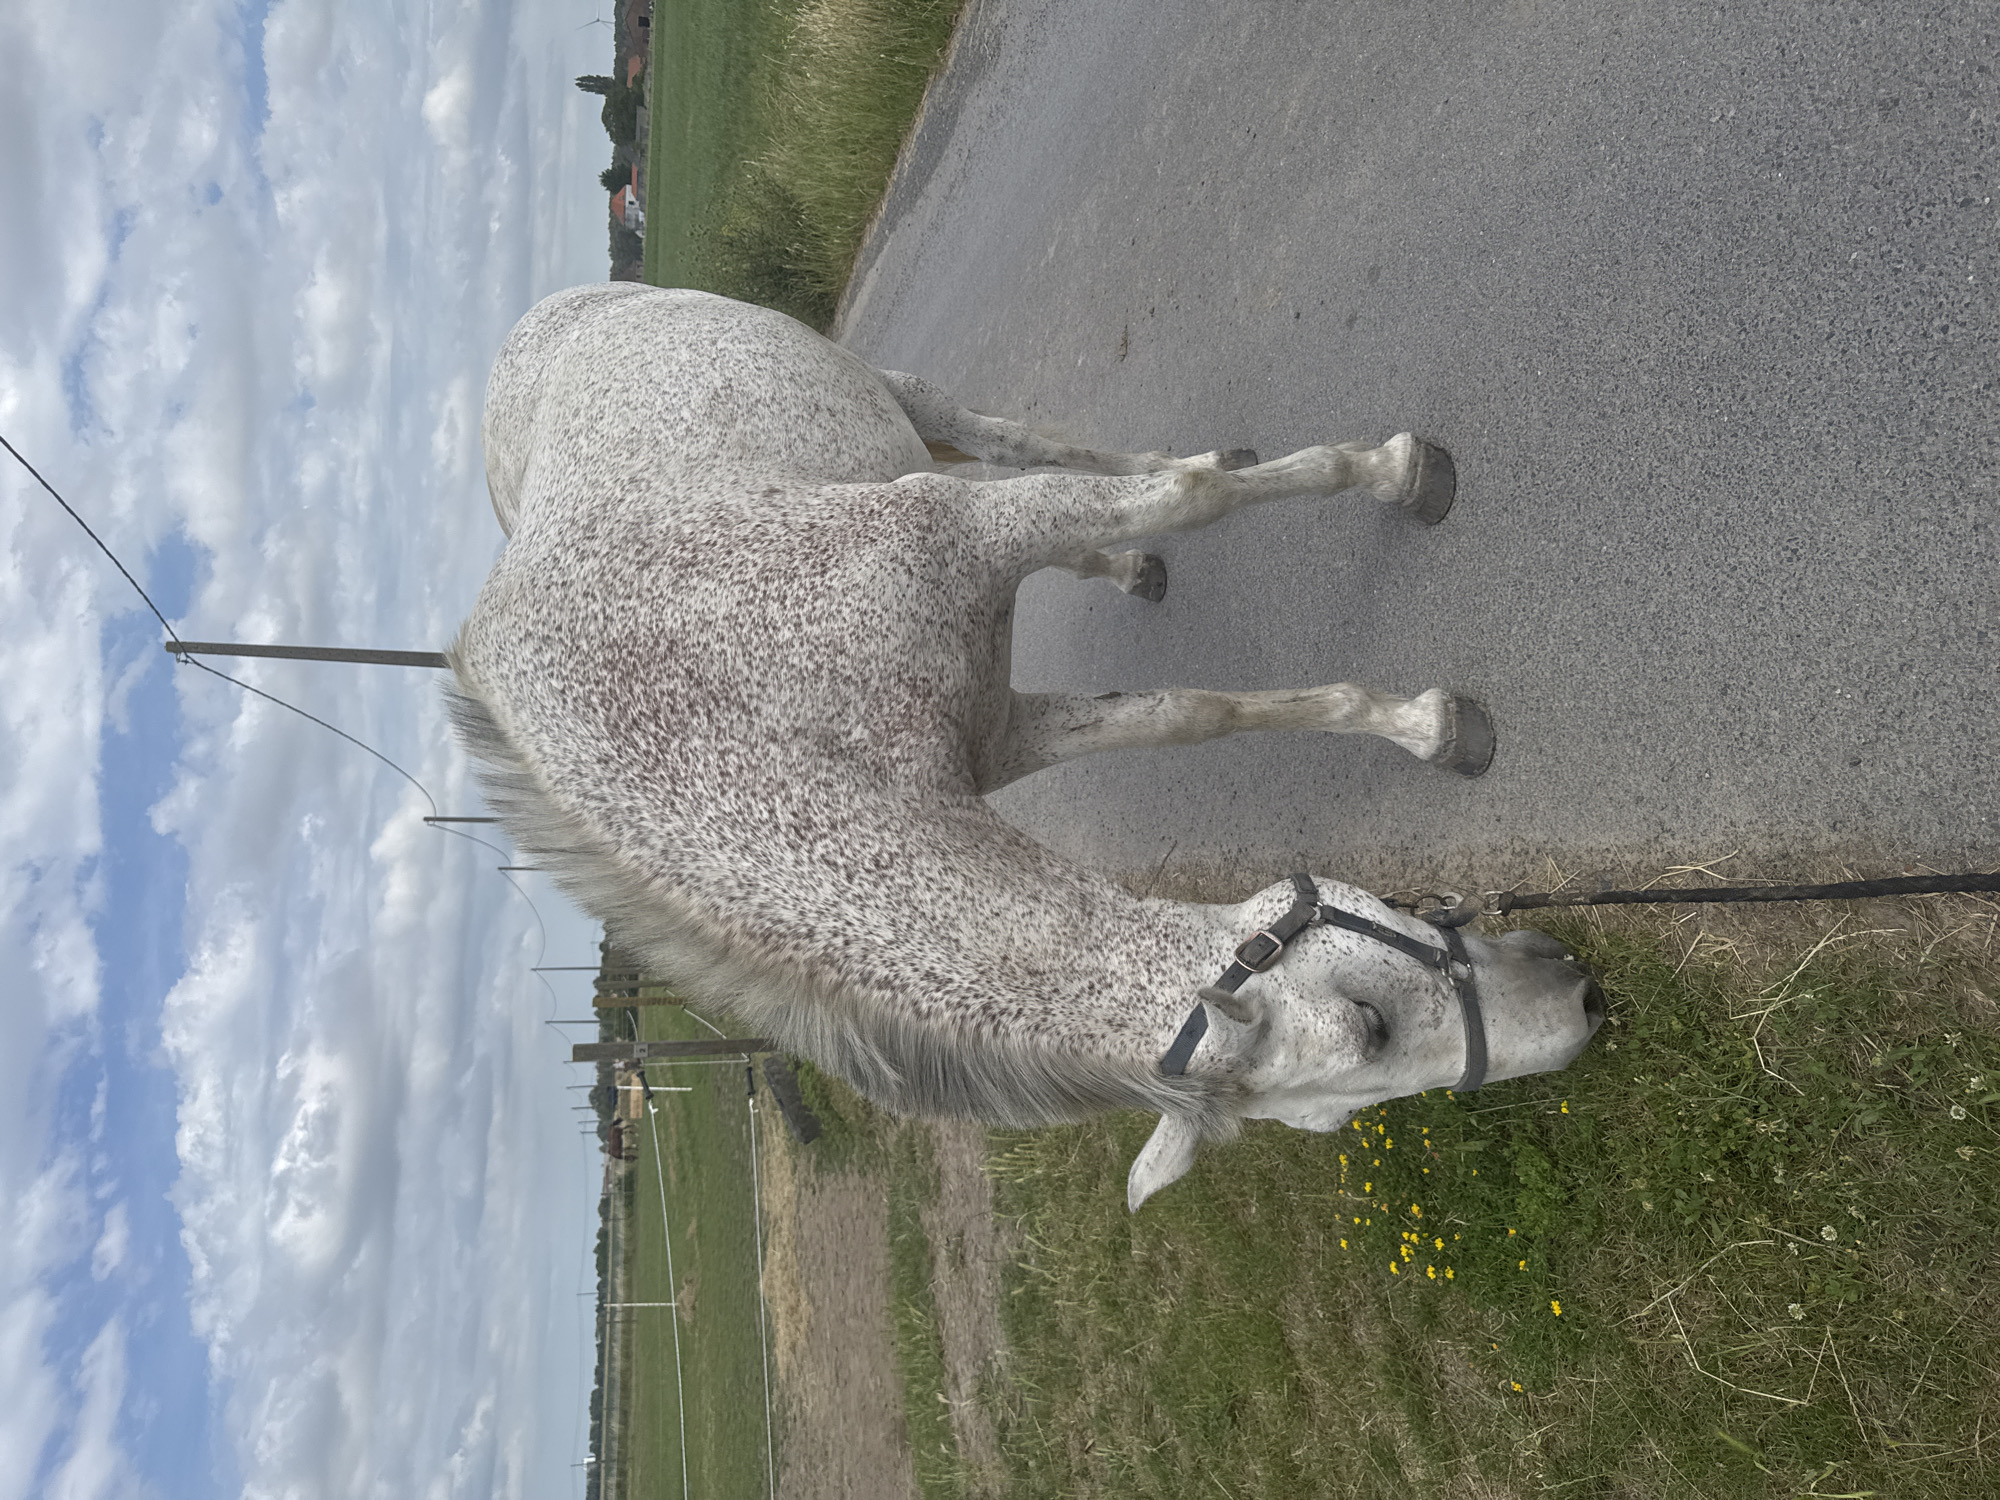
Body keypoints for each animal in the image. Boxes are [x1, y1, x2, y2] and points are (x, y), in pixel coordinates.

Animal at [449, 284, 1605, 1210]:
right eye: (1367, 1039)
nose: (1578, 1002)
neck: (751, 707)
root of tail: (538, 321)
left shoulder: (976, 536)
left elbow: (1192, 500)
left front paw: (1400, 490)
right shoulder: (1005, 735)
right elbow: (1188, 712)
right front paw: (1413, 717)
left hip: (904, 401)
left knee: (1012, 442)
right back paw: (1131, 564)